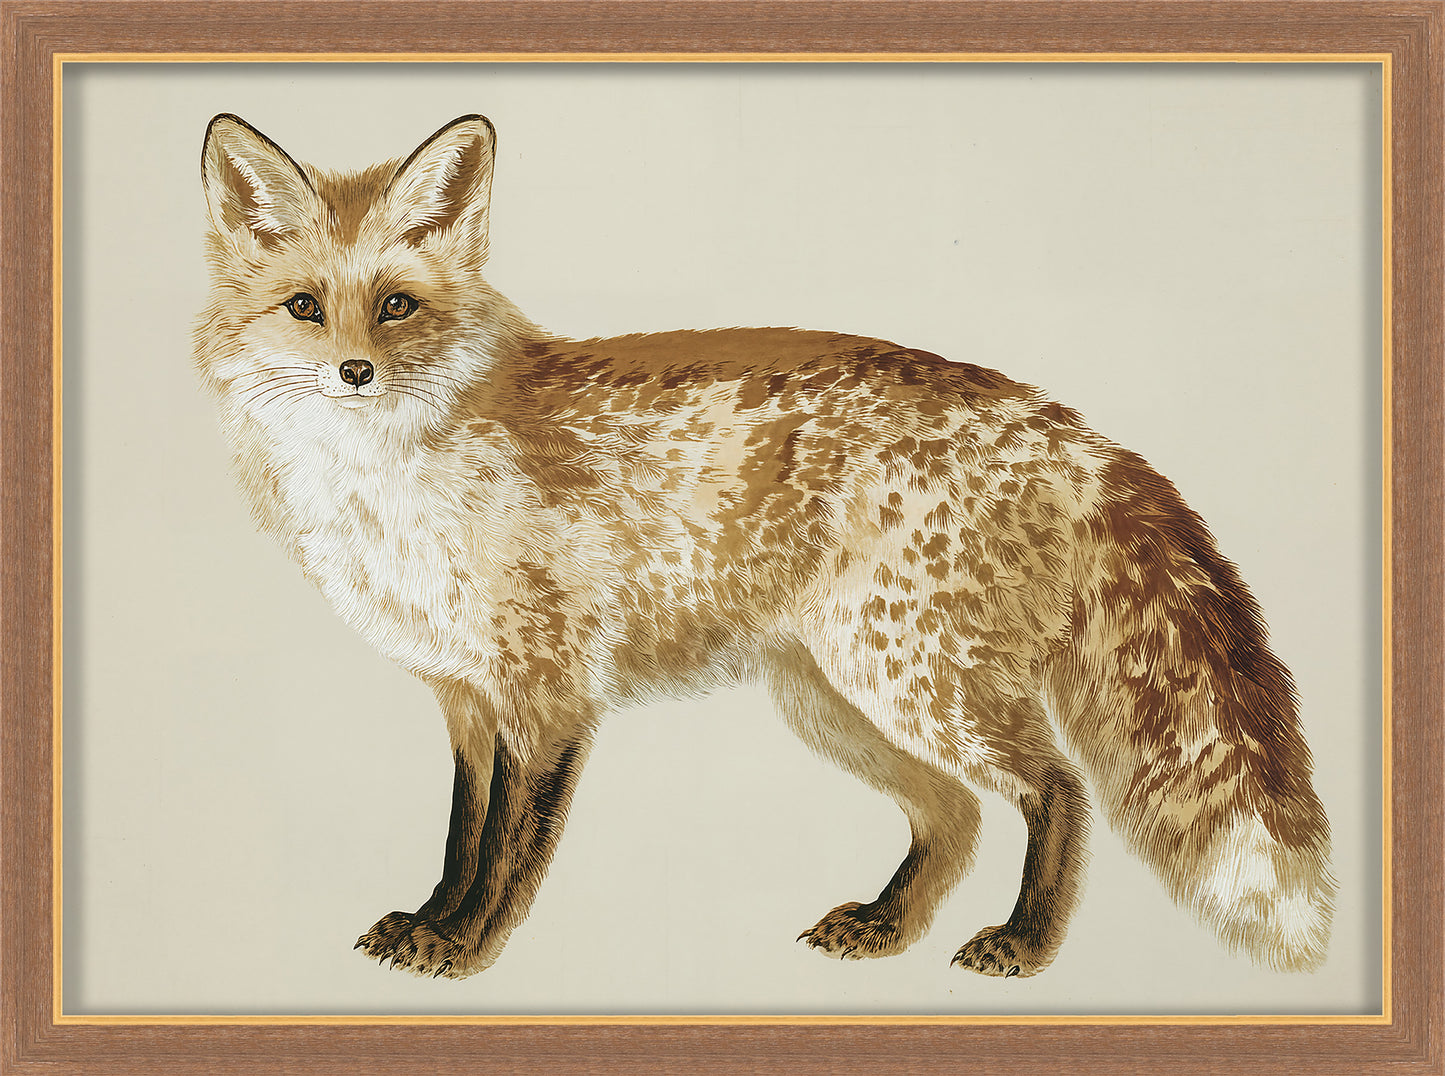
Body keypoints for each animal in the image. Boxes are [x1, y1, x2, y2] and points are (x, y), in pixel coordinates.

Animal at [194, 112, 1334, 982]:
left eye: (396, 305)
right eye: (305, 307)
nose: (352, 372)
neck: (389, 478)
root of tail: (1061, 423)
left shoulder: (547, 692)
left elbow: (507, 851)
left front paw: (465, 947)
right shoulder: (467, 697)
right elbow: (458, 838)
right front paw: (431, 919)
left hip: (910, 679)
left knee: (1055, 788)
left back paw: (1023, 942)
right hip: (835, 698)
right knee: (957, 814)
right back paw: (886, 924)